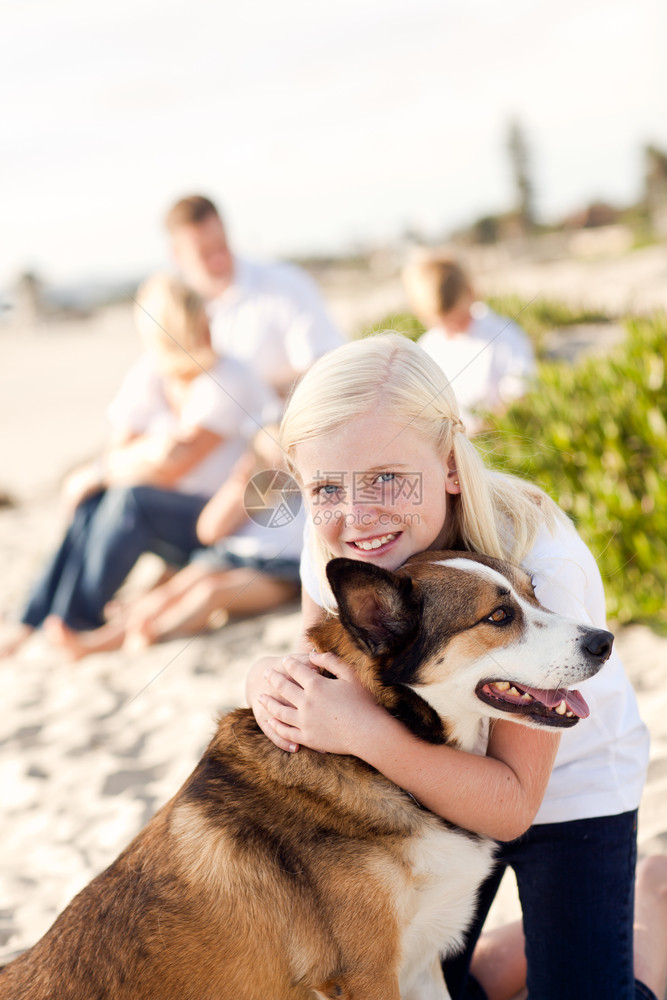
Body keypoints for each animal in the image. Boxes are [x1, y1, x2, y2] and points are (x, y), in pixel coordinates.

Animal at [0, 552, 612, 996]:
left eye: (535, 593)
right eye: (499, 617)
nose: (604, 641)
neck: (376, 761)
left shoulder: (417, 963)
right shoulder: (366, 974)